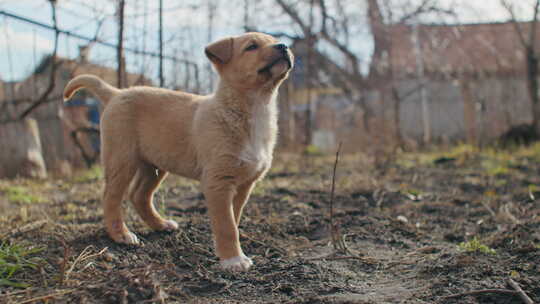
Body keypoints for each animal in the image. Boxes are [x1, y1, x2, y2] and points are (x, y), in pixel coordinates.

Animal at [63, 32, 294, 270]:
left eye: (274, 40)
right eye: (251, 47)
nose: (284, 46)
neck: (255, 108)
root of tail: (117, 93)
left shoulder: (244, 185)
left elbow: (233, 218)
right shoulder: (218, 181)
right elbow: (226, 225)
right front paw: (233, 260)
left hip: (154, 165)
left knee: (139, 195)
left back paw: (161, 224)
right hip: (122, 158)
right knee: (111, 197)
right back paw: (121, 235)